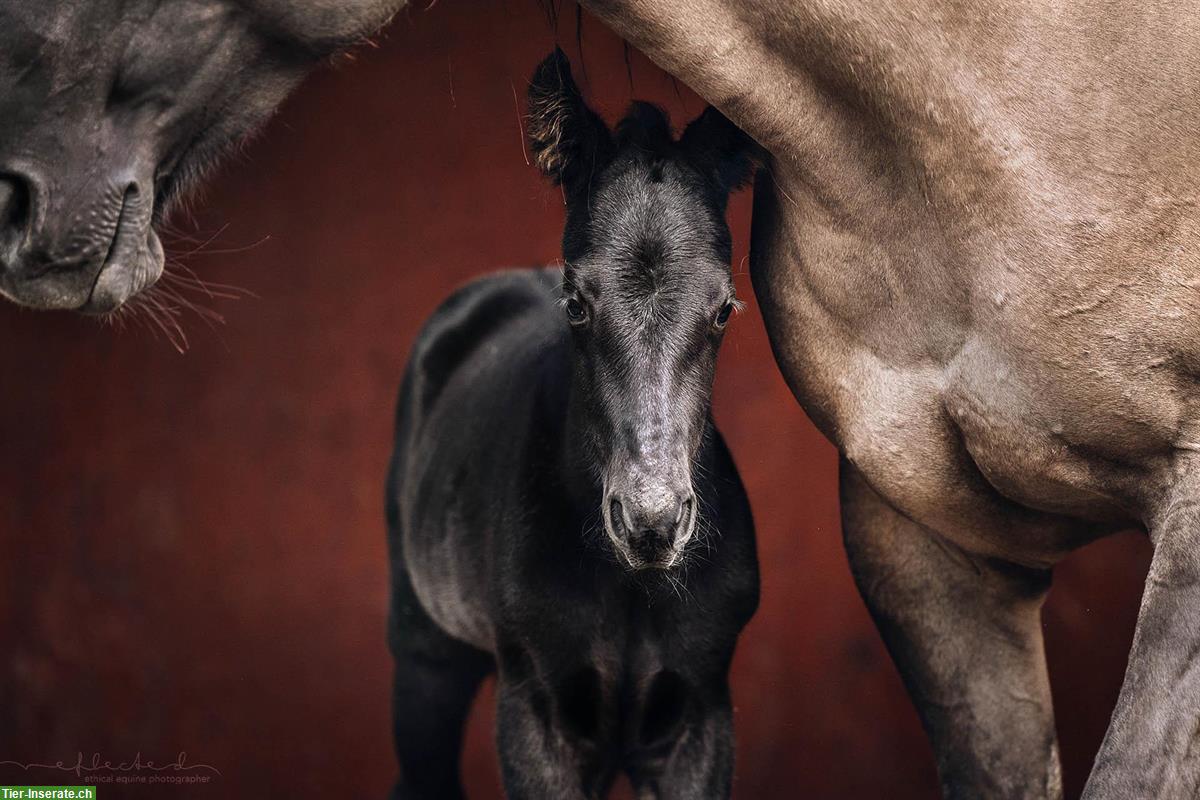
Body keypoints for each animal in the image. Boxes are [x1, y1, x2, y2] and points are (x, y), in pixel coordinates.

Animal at [384, 51, 758, 800]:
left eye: (724, 309)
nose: (651, 523)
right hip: (425, 654)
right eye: (577, 303)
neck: (632, 586)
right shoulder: (538, 717)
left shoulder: (697, 716)